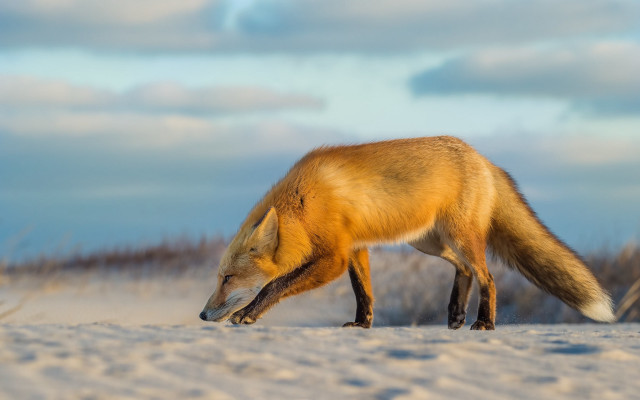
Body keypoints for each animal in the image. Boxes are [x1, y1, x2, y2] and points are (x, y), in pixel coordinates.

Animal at [199, 136, 615, 330]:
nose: (202, 315)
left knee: (487, 276)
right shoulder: (356, 249)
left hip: (459, 237)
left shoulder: (334, 257)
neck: (305, 202)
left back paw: (484, 322)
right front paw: (362, 325)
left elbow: (275, 285)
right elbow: (364, 293)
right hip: (429, 243)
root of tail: (483, 159)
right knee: (464, 270)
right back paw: (455, 314)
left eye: (227, 278)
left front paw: (249, 313)